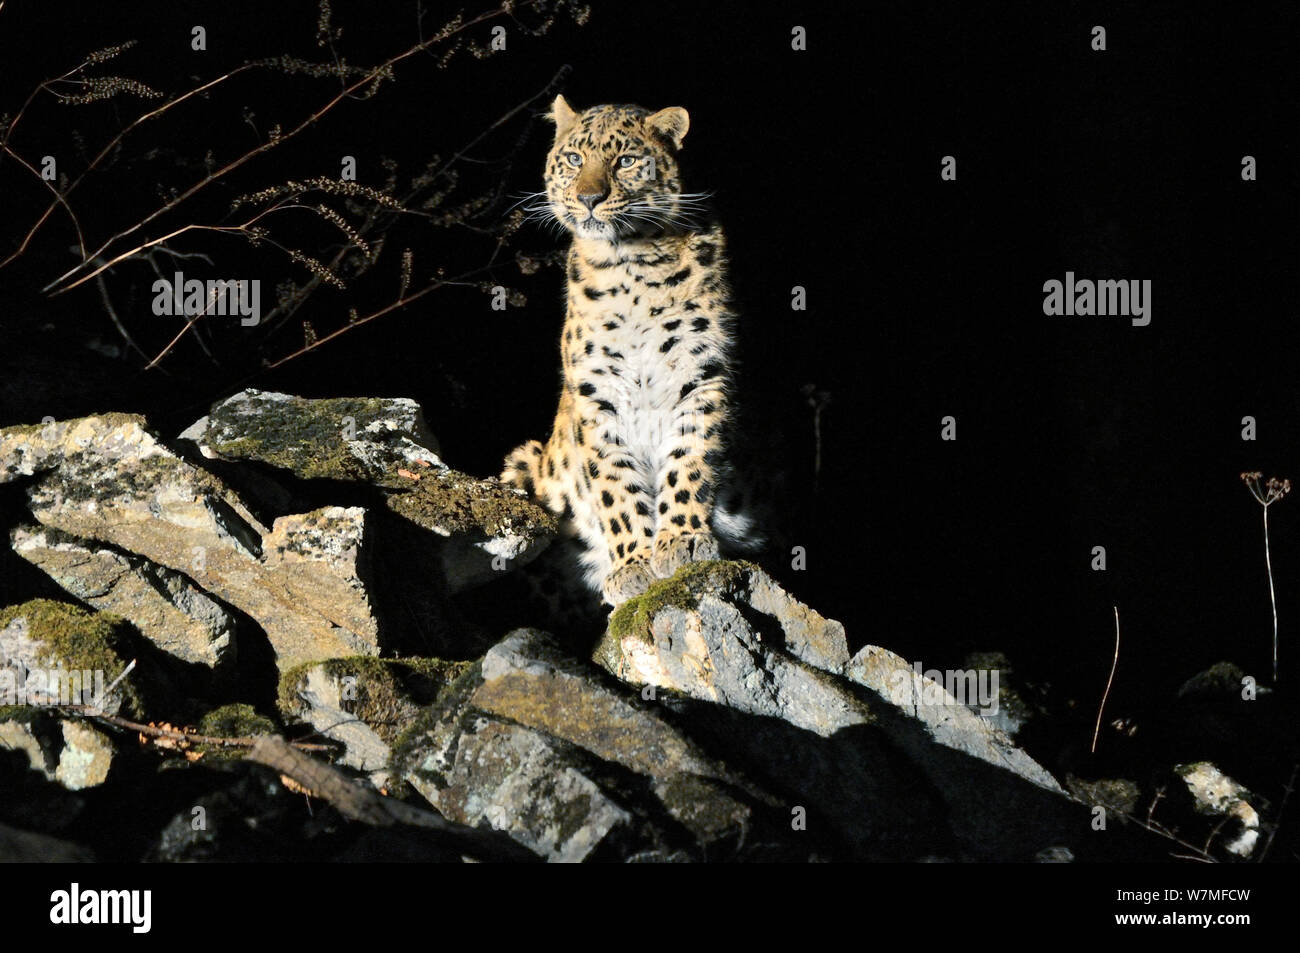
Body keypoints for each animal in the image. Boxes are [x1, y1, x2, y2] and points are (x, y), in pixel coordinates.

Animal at [499, 94, 759, 603]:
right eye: (574, 159)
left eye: (626, 161)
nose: (589, 198)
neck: (631, 266)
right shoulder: (598, 396)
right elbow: (615, 484)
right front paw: (633, 563)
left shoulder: (702, 377)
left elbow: (689, 462)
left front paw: (682, 540)